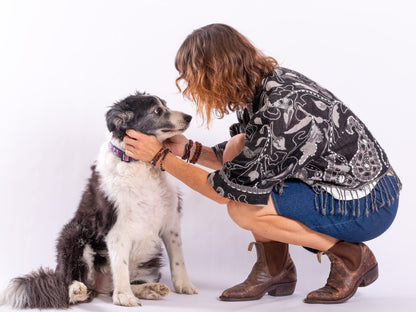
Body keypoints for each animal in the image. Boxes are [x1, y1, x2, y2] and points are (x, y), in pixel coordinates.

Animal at [0, 91, 197, 308]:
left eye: (165, 105)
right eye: (157, 111)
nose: (189, 117)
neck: (138, 164)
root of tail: (100, 287)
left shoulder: (171, 222)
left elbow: (178, 259)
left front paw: (184, 284)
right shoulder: (115, 227)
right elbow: (120, 265)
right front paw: (124, 296)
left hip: (148, 259)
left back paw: (151, 288)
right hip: (73, 234)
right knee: (72, 284)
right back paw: (77, 290)